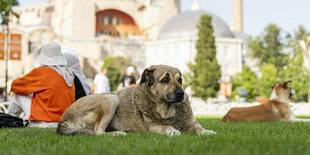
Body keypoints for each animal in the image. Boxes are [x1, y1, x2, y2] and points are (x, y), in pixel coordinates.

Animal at [56, 65, 216, 136]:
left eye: (180, 80)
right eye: (165, 80)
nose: (181, 93)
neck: (168, 111)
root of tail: (61, 122)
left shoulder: (192, 123)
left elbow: (199, 128)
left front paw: (207, 131)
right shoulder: (153, 127)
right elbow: (166, 127)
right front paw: (172, 130)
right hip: (111, 98)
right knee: (98, 132)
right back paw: (117, 134)